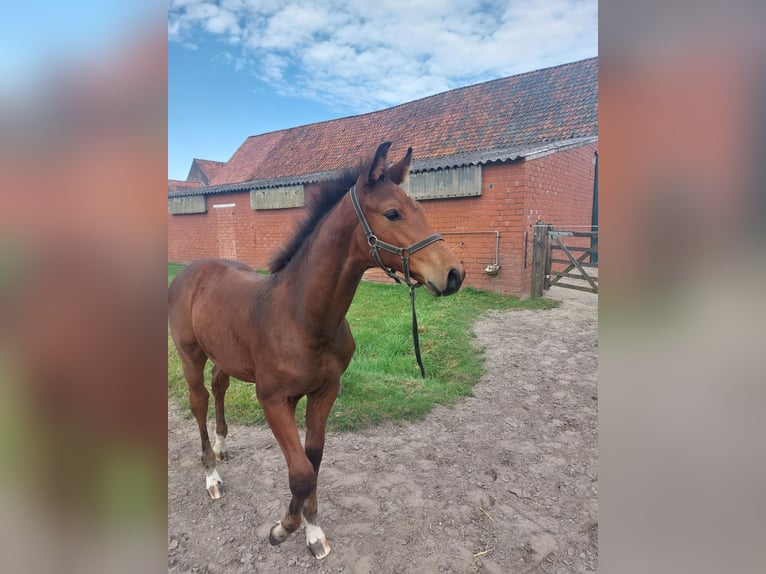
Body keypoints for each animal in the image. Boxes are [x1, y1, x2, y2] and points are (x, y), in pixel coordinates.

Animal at [169, 144, 464, 564]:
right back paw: (212, 475)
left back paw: (224, 449)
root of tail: (192, 270)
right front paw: (283, 528)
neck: (302, 315)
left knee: (219, 387)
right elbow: (301, 472)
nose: (454, 274)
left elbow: (313, 460)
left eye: (420, 207)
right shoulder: (274, 400)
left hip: (223, 355)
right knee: (198, 402)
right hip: (189, 355)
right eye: (393, 213)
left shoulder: (325, 392)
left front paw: (311, 531)